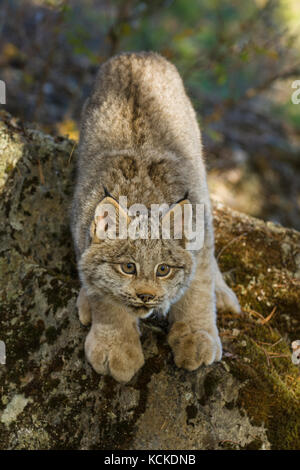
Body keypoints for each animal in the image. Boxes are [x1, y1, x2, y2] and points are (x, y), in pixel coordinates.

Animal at [71, 51, 240, 382]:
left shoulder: (199, 240)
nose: (147, 296)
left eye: (163, 270)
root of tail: (138, 54)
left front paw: (196, 336)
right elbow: (105, 296)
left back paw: (224, 294)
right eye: (128, 267)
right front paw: (116, 346)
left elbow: (198, 289)